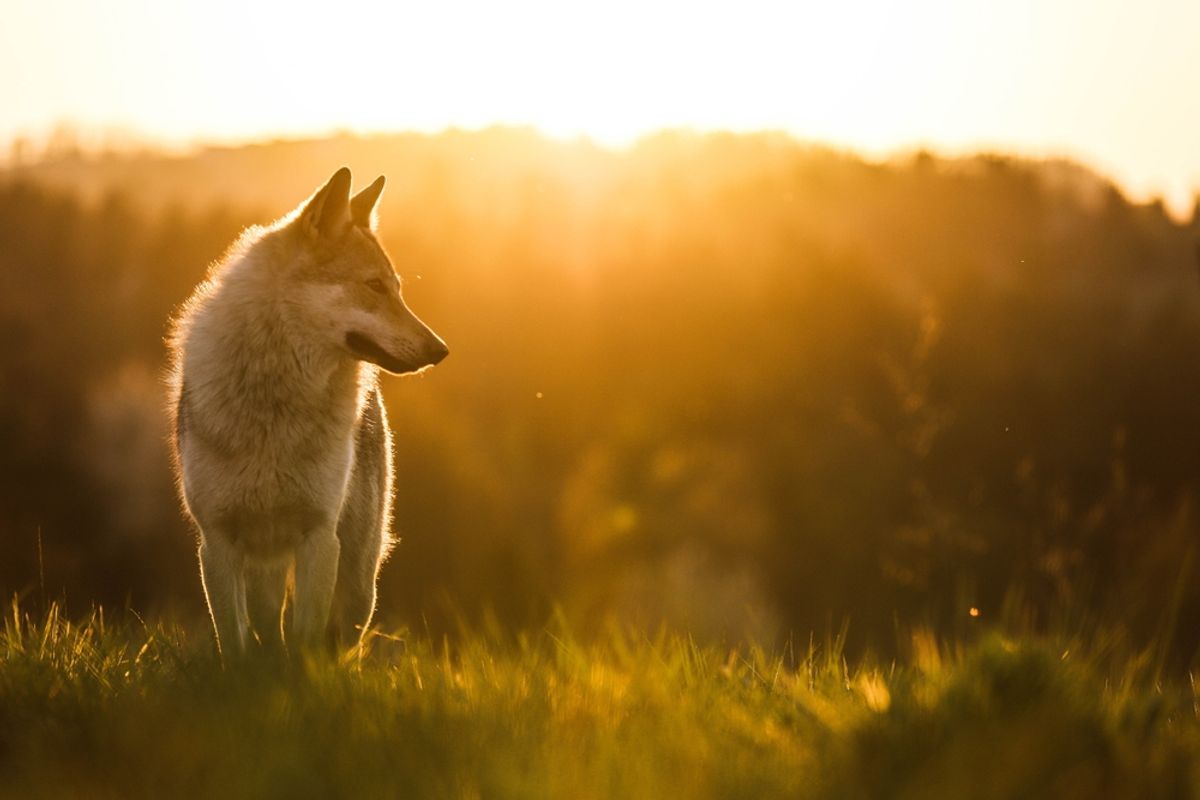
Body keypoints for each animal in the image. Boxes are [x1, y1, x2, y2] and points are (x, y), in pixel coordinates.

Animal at [169, 167, 448, 656]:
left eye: (398, 289)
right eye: (375, 286)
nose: (441, 350)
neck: (276, 402)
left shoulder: (319, 536)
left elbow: (305, 640)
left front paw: (304, 673)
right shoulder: (217, 540)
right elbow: (234, 641)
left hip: (359, 580)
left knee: (342, 639)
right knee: (266, 624)